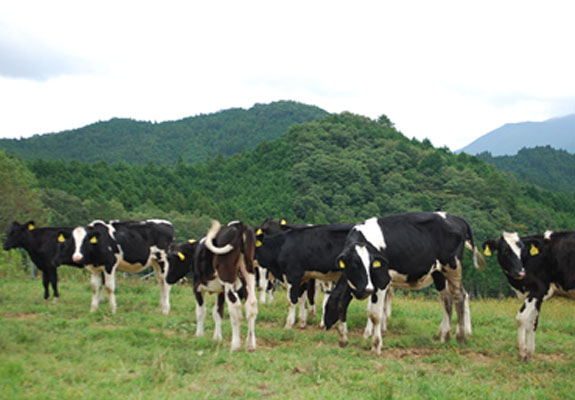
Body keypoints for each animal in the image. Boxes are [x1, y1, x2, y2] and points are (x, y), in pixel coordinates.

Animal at [201, 220, 258, 352]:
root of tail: (240, 225)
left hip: (227, 276)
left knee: (235, 307)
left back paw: (235, 345)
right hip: (249, 271)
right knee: (251, 304)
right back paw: (250, 344)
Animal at [326, 211, 484, 354]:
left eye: (371, 265)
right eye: (354, 265)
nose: (325, 326)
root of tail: (457, 218)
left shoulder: (382, 279)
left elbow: (375, 314)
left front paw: (376, 346)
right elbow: (342, 304)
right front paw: (343, 339)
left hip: (452, 266)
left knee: (459, 296)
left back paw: (461, 338)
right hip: (439, 272)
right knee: (446, 299)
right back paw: (445, 337)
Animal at [482, 230, 575, 360]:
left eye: (522, 250)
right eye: (505, 250)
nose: (520, 272)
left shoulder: (538, 290)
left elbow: (521, 318)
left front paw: (522, 353)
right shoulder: (538, 297)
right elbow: (533, 322)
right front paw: (530, 354)